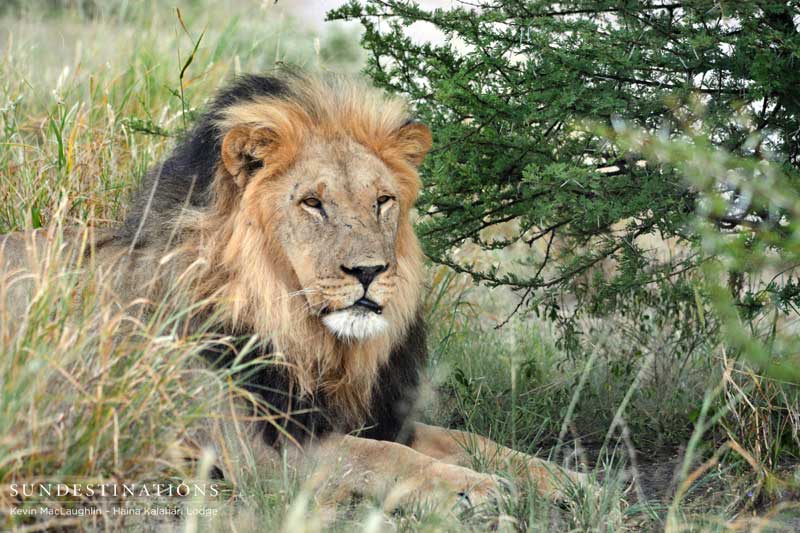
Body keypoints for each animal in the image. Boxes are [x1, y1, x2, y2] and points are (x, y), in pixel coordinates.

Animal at [0, 70, 589, 509]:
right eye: (312, 203)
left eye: (382, 201)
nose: (369, 271)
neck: (321, 346)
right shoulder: (260, 452)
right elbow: (381, 459)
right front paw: (477, 490)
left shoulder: (381, 418)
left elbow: (469, 441)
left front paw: (566, 480)